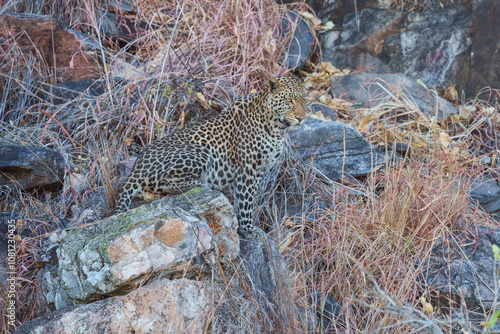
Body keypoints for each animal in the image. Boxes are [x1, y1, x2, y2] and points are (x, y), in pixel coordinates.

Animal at [114, 76, 306, 237]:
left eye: (304, 101)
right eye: (289, 100)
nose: (301, 118)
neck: (277, 127)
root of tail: (136, 168)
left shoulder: (258, 170)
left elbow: (245, 199)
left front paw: (242, 225)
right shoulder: (247, 169)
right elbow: (245, 201)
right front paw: (248, 229)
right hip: (201, 153)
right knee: (166, 182)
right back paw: (202, 184)